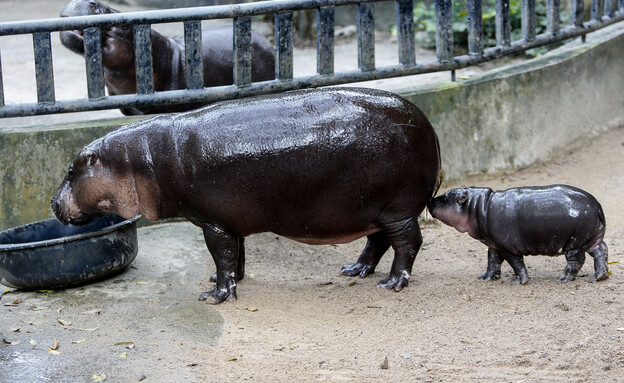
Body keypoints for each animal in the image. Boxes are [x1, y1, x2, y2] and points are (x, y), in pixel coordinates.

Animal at [51, 88, 444, 304]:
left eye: (71, 170)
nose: (53, 202)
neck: (141, 159)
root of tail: (430, 126)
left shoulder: (213, 222)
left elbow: (221, 255)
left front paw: (215, 296)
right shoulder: (229, 220)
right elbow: (235, 255)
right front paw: (226, 282)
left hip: (398, 209)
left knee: (408, 243)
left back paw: (391, 283)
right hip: (374, 210)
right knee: (377, 242)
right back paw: (355, 270)